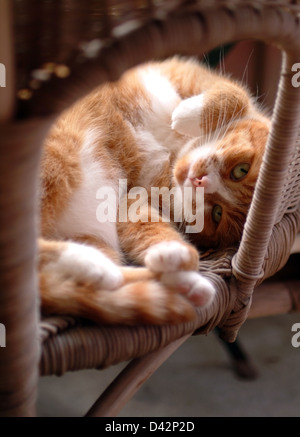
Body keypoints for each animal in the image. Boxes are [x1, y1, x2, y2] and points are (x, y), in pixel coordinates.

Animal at [37, 55, 270, 324]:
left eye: (217, 213)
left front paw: (174, 256)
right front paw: (186, 114)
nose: (199, 182)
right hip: (59, 156)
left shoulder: (133, 201)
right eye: (241, 170)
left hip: (92, 235)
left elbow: (149, 228)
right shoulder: (175, 71)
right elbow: (234, 94)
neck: (173, 149)